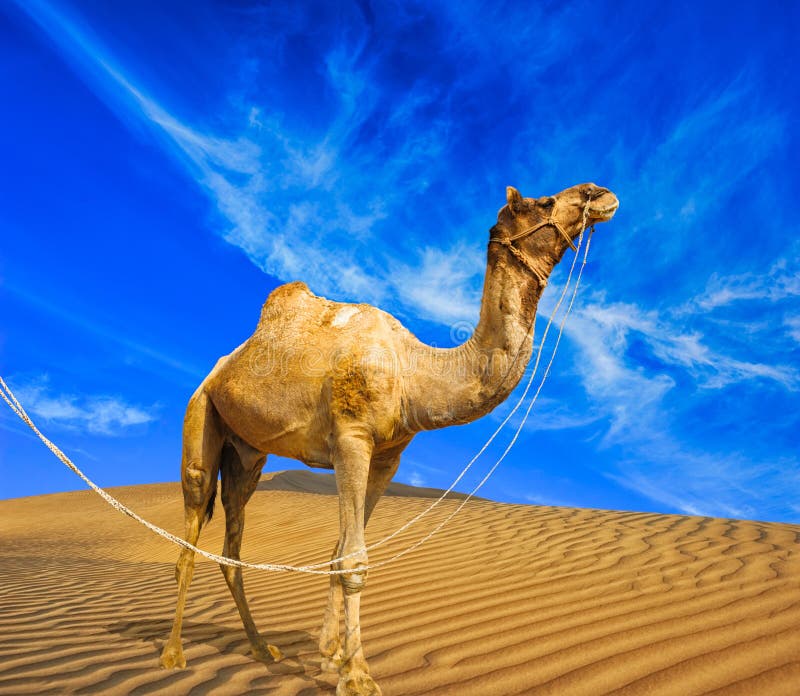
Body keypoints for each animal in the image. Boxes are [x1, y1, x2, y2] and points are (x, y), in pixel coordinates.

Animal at [158, 182, 620, 692]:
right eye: (542, 203)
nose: (600, 193)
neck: (413, 373)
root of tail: (221, 368)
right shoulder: (351, 438)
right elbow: (354, 559)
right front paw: (357, 675)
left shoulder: (387, 458)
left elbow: (339, 551)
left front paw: (330, 658)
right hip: (201, 412)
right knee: (191, 522)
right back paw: (173, 654)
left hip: (247, 454)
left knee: (232, 538)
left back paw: (261, 648)